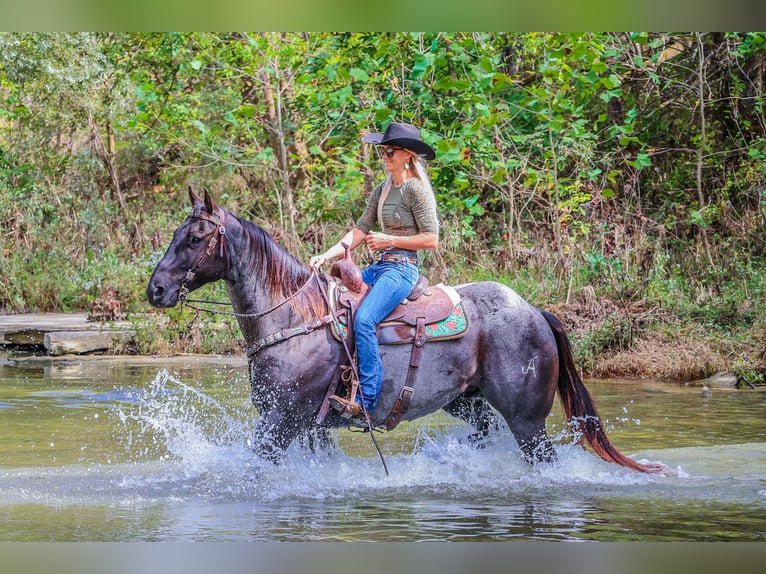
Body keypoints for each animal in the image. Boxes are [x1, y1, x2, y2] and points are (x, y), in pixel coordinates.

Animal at [146, 187, 665, 474]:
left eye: (196, 237)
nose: (156, 289)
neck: (294, 320)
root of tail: (535, 311)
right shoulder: (309, 428)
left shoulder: (281, 420)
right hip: (467, 402)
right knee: (481, 434)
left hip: (527, 420)